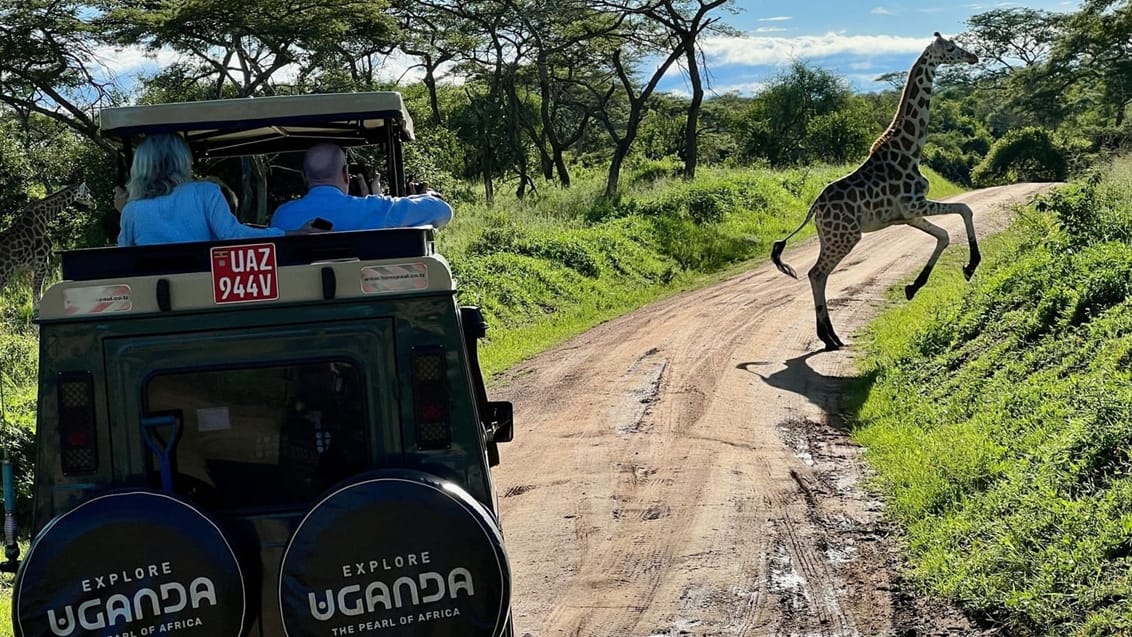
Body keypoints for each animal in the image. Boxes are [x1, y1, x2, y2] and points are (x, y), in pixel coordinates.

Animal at [769, 32, 982, 350]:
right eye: (951, 48)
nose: (973, 57)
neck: (910, 150)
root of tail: (815, 207)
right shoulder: (915, 204)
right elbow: (965, 209)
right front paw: (971, 265)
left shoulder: (907, 215)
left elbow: (943, 235)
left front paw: (913, 287)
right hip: (846, 237)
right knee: (816, 273)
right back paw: (829, 337)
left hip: (831, 237)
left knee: (817, 274)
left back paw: (830, 336)